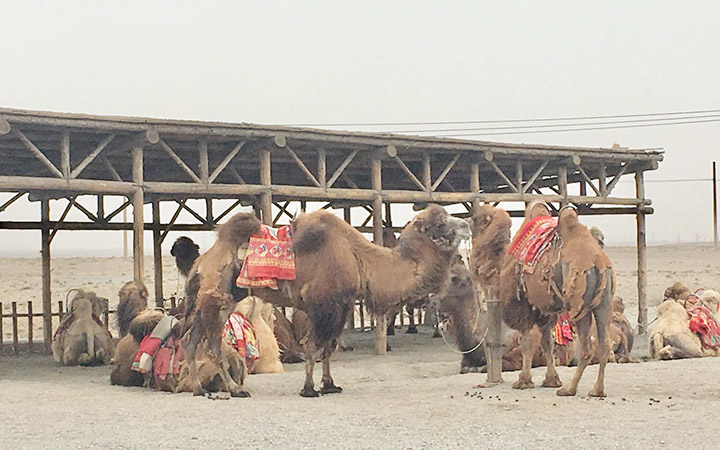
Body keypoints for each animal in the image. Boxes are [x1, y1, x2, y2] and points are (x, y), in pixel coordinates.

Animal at [470, 204, 616, 398]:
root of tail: (598, 262)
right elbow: (548, 343)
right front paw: (551, 380)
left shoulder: (523, 306)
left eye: (478, 219)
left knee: (586, 347)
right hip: (604, 302)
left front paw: (523, 381)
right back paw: (597, 390)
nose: (466, 220)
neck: (500, 261)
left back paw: (570, 389)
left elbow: (527, 344)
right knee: (604, 343)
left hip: (579, 305)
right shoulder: (547, 312)